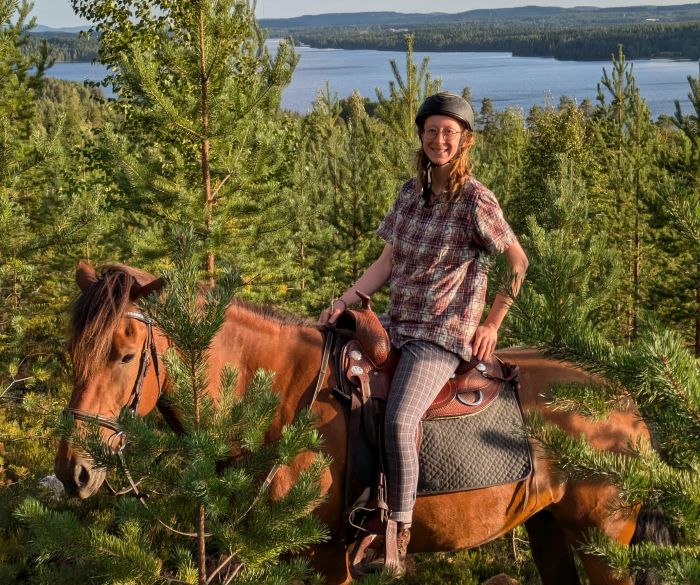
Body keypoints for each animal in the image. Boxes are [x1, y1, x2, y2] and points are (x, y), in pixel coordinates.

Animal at [56, 264, 652, 584]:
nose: (72, 471)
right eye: (72, 352)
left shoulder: (327, 559)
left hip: (604, 543)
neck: (285, 400)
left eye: (124, 355)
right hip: (549, 528)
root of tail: (629, 400)